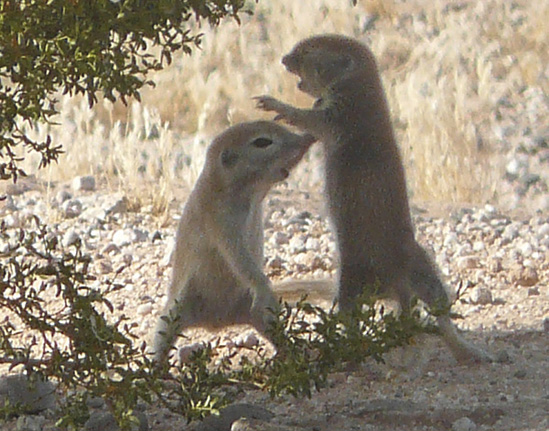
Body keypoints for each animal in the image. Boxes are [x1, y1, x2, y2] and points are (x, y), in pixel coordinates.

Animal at [150, 120, 314, 364]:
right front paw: (263, 286)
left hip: (260, 315)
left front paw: (309, 136)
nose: (300, 140)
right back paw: (154, 368)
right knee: (161, 341)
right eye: (262, 142)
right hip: (171, 316)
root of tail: (217, 322)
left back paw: (293, 350)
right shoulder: (222, 226)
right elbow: (240, 260)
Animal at [256, 34, 492, 364]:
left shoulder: (342, 113)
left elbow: (310, 119)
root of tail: (394, 286)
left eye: (309, 49)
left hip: (387, 272)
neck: (360, 86)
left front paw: (272, 103)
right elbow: (309, 130)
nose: (283, 59)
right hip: (392, 275)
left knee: (435, 315)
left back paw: (470, 351)